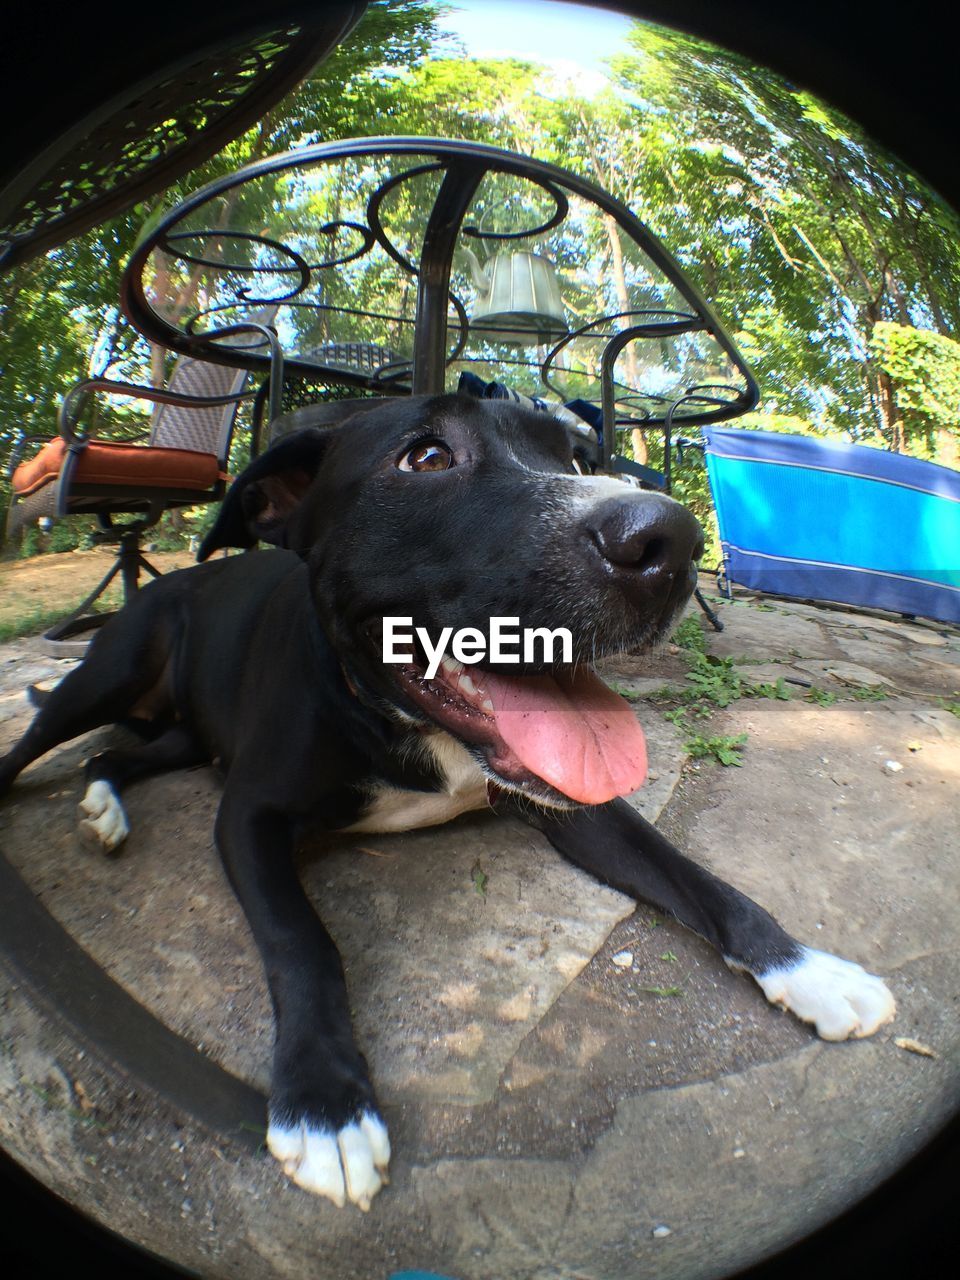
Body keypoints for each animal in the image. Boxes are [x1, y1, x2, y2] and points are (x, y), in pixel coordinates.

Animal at [0, 396, 901, 1208]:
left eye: (578, 454)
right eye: (426, 458)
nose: (669, 540)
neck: (413, 727)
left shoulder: (577, 805)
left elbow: (697, 877)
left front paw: (807, 968)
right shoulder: (248, 816)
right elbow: (303, 942)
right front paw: (325, 1104)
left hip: (185, 734)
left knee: (117, 753)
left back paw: (106, 807)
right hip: (103, 676)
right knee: (34, 747)